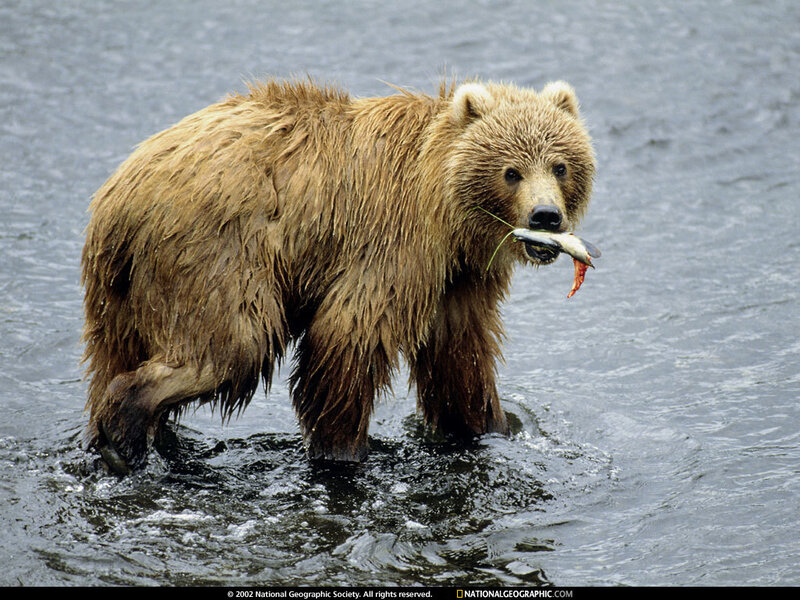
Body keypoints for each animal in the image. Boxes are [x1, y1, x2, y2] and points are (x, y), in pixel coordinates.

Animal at [81, 77, 595, 474]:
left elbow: (459, 357)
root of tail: (117, 195)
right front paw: (342, 450)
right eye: (511, 171)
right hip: (216, 254)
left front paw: (490, 425)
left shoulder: (457, 279)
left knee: (115, 354)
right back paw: (124, 434)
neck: (448, 215)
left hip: (121, 292)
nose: (546, 216)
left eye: (560, 165)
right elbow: (347, 336)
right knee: (230, 346)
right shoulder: (395, 241)